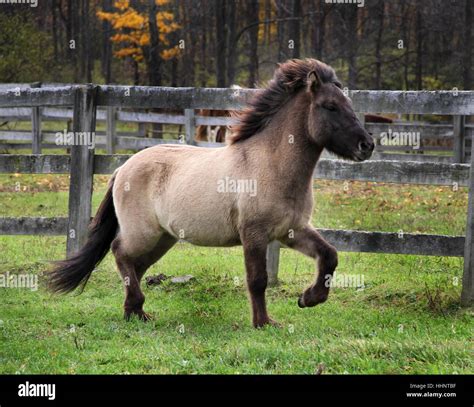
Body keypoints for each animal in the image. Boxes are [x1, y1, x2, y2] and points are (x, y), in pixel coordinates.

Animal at [49, 58, 374, 328]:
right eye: (330, 106)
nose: (367, 145)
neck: (270, 165)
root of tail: (123, 169)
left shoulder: (290, 230)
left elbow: (329, 255)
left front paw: (308, 298)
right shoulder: (254, 234)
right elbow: (257, 280)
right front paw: (264, 323)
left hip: (163, 237)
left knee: (134, 265)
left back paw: (136, 313)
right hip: (144, 232)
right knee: (120, 253)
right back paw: (136, 309)